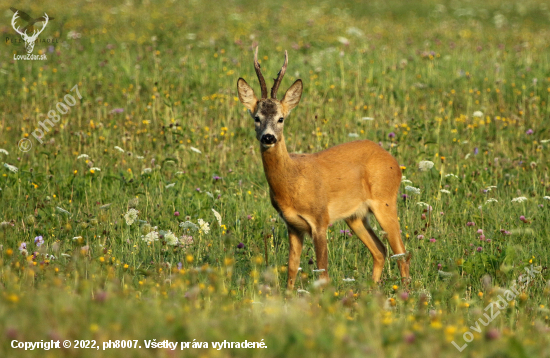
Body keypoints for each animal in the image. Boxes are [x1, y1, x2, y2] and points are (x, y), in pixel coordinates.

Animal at [237, 47, 410, 290]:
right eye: (256, 117)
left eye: (281, 118)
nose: (268, 137)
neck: (293, 181)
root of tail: (393, 161)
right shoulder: (292, 225)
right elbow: (292, 268)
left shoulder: (320, 220)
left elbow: (322, 272)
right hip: (355, 216)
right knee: (380, 250)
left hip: (385, 201)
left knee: (402, 253)